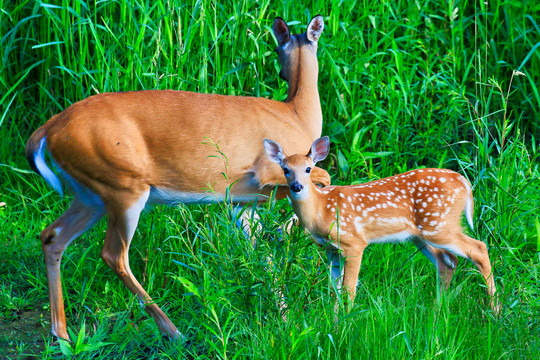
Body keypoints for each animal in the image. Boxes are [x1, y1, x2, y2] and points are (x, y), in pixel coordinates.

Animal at [26, 15, 334, 340]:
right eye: (276, 49)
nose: (280, 72)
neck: (297, 115)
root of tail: (51, 127)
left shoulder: (243, 201)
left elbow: (260, 251)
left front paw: (284, 317)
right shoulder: (271, 172)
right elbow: (323, 180)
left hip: (91, 195)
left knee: (52, 237)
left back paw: (62, 334)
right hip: (125, 187)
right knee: (113, 255)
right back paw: (173, 332)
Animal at [264, 138, 500, 316]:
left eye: (308, 169)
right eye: (285, 170)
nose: (297, 186)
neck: (321, 210)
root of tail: (465, 183)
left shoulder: (354, 242)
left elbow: (349, 290)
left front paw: (345, 324)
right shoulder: (331, 249)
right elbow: (334, 290)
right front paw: (333, 321)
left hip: (439, 225)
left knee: (479, 248)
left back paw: (494, 312)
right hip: (421, 235)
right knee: (447, 262)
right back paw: (436, 311)